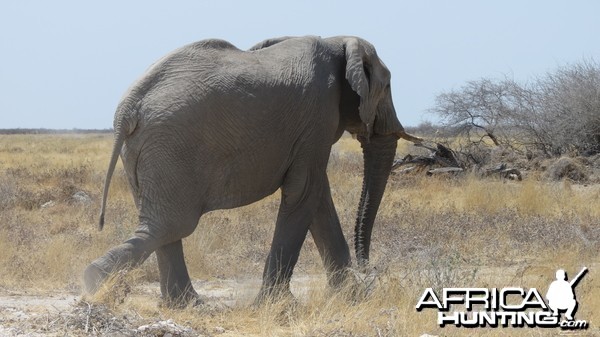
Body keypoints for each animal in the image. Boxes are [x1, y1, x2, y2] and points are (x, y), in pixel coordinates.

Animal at [84, 35, 422, 306]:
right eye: (386, 87)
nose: (369, 267)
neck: (337, 41)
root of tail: (129, 106)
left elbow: (317, 197)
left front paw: (353, 297)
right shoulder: (318, 115)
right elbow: (304, 192)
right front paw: (278, 305)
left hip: (146, 151)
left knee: (163, 225)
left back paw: (186, 305)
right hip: (169, 147)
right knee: (172, 224)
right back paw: (95, 280)